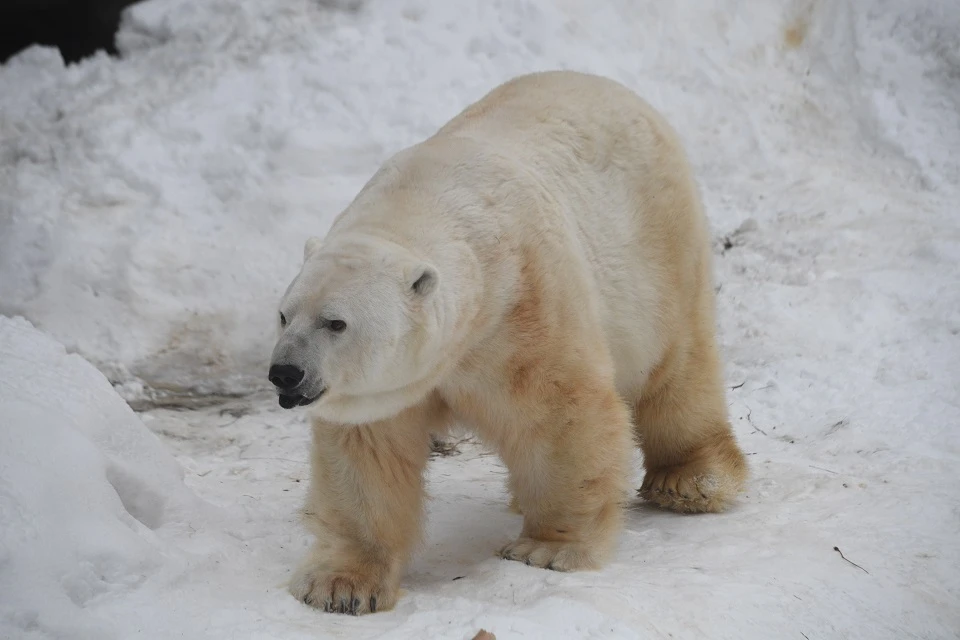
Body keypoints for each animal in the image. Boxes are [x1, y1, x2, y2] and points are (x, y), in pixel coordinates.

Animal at [270, 71, 752, 616]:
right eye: (284, 316)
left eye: (336, 323)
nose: (285, 373)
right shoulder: (386, 387)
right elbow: (368, 453)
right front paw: (341, 585)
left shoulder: (523, 303)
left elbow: (559, 413)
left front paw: (546, 549)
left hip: (657, 250)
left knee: (675, 366)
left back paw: (691, 481)